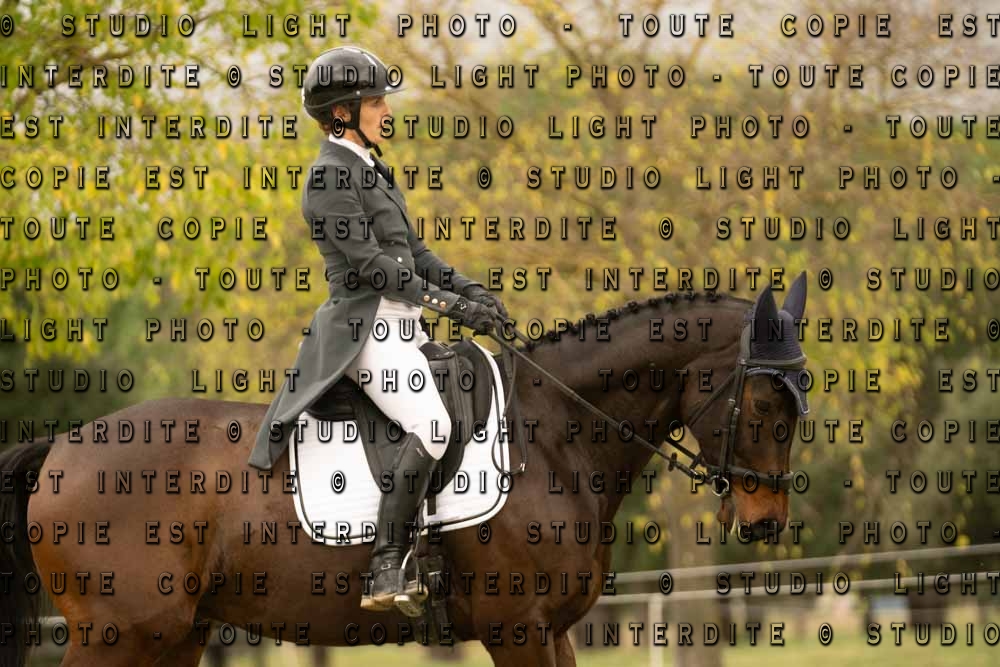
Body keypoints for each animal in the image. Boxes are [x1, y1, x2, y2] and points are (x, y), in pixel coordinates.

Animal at [0, 280, 809, 667]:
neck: (555, 435)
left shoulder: (556, 632)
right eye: (765, 398)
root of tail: (61, 448)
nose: (766, 522)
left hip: (175, 635)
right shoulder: (518, 630)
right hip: (119, 633)